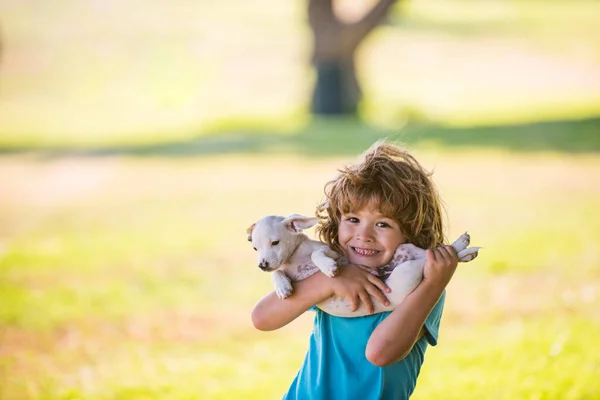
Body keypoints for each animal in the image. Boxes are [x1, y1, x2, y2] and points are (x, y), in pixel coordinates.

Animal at [246, 214, 480, 318]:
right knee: (431, 255)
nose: (262, 265)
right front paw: (282, 287)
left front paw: (327, 267)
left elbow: (316, 254)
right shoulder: (282, 268)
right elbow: (277, 272)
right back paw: (464, 251)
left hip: (407, 264)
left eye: (275, 242)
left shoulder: (332, 251)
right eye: (255, 248)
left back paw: (462, 247)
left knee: (431, 257)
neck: (294, 257)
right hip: (406, 256)